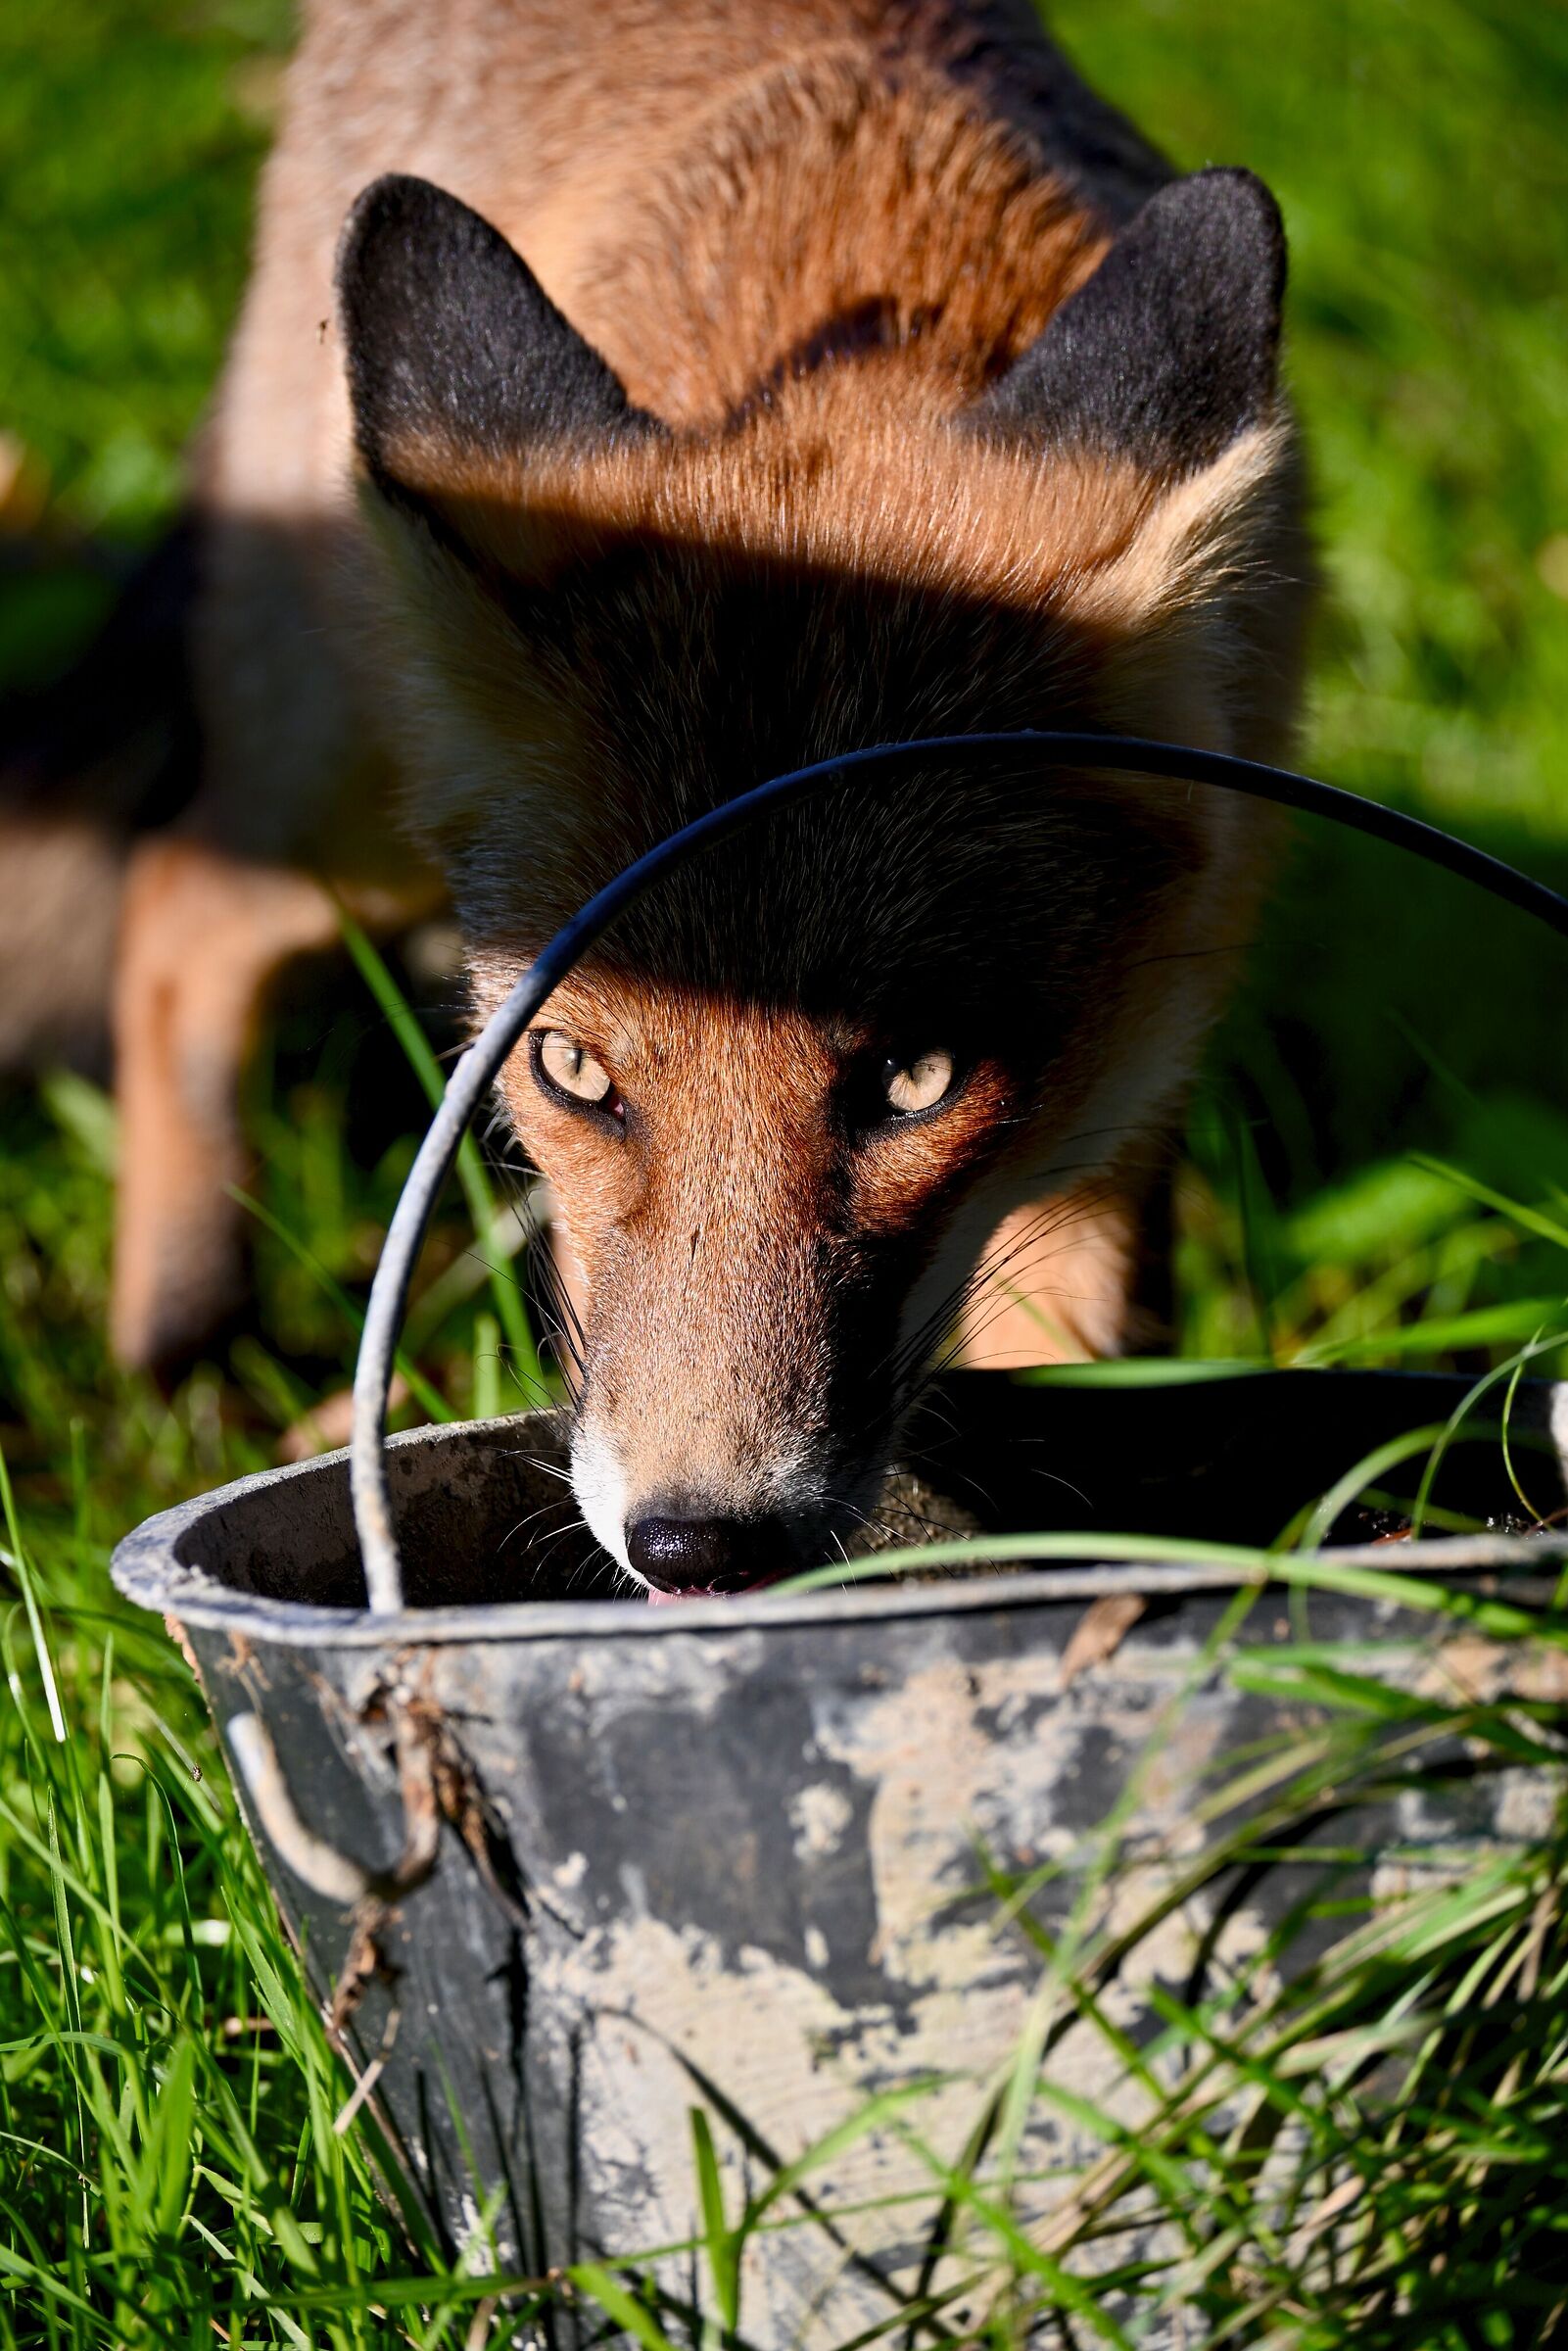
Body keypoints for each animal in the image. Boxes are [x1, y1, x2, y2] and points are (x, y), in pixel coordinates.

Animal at [7, 0, 1312, 1594]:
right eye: (575, 1071)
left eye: (917, 1079)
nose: (696, 1548)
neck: (865, 253)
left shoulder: (1135, 1070)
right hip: (350, 801)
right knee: (177, 904)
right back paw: (188, 1331)